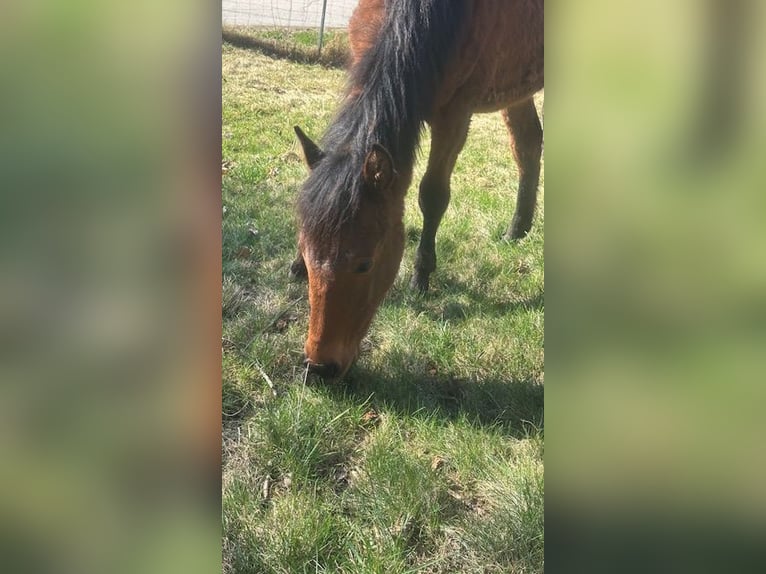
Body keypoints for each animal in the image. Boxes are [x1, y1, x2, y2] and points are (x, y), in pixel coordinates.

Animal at [291, 0, 543, 379]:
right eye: (309, 258)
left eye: (365, 264)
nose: (320, 368)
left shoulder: (455, 113)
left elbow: (433, 195)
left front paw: (421, 274)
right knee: (527, 142)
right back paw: (517, 229)